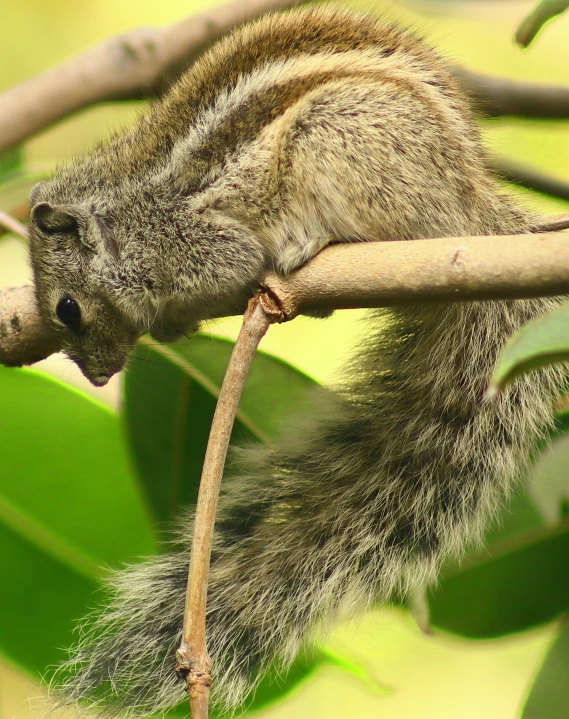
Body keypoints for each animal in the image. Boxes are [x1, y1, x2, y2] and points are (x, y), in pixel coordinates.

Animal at [25, 7, 564, 719]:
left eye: (67, 310)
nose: (96, 376)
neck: (125, 215)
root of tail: (477, 212)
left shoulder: (197, 245)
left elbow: (227, 266)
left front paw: (167, 318)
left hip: (341, 140)